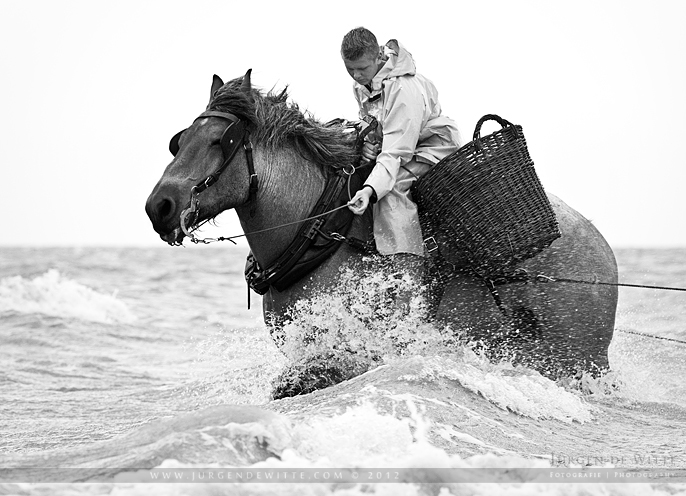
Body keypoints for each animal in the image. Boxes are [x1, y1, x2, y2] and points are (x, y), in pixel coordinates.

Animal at [144, 70, 620, 398]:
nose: (158, 207)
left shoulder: (358, 348)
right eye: (179, 140)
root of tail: (602, 248)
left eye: (219, 141)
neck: (321, 230)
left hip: (575, 359)